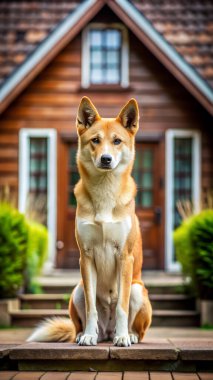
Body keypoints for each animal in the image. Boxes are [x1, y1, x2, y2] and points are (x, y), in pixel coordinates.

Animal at [27, 96, 151, 346]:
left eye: (117, 141)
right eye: (95, 140)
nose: (106, 159)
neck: (104, 192)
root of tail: (108, 332)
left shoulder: (125, 257)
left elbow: (122, 306)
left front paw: (123, 338)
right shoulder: (86, 256)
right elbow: (92, 305)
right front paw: (88, 336)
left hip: (136, 289)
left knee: (136, 325)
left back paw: (127, 334)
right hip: (77, 290)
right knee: (82, 318)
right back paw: (88, 334)